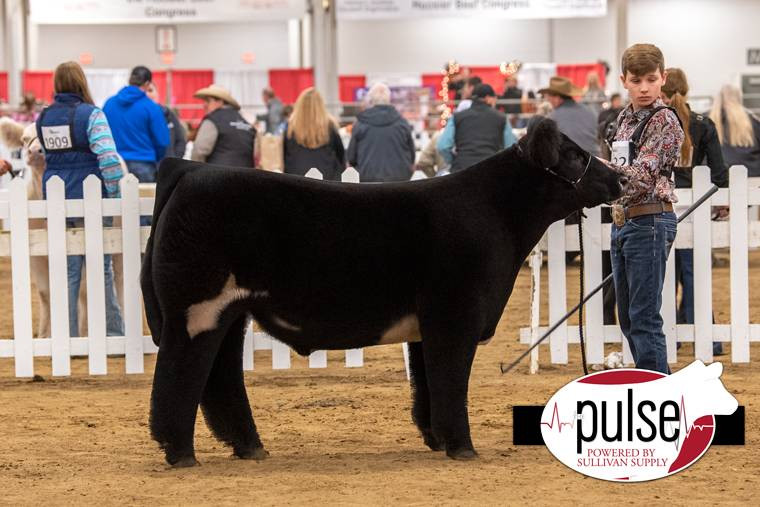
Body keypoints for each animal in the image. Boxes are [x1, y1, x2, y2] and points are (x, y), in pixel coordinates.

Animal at [141, 118, 627, 467]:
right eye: (573, 154)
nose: (619, 179)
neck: (495, 212)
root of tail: (192, 169)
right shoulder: (456, 314)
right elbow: (451, 381)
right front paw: (463, 447)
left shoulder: (429, 326)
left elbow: (428, 386)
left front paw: (437, 440)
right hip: (197, 308)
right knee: (180, 376)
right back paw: (180, 453)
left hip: (229, 310)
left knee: (219, 375)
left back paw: (249, 447)